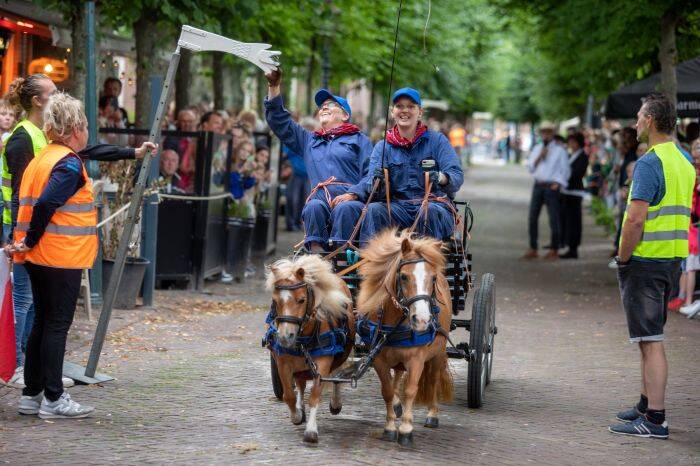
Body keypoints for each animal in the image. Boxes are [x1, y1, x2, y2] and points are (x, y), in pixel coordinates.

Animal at [266, 255, 358, 444]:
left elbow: (315, 395)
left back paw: (335, 403)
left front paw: (311, 430)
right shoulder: (283, 362)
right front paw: (296, 415)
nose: (285, 337)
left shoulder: (322, 362)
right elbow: (289, 395)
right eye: (276, 301)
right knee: (300, 383)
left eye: (301, 300)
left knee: (336, 375)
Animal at [356, 229, 454, 448]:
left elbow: (410, 390)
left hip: (438, 353)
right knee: (398, 376)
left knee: (433, 379)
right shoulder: (379, 359)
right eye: (403, 276)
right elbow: (387, 390)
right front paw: (390, 427)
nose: (423, 320)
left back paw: (432, 415)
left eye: (432, 279)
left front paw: (406, 430)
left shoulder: (416, 359)